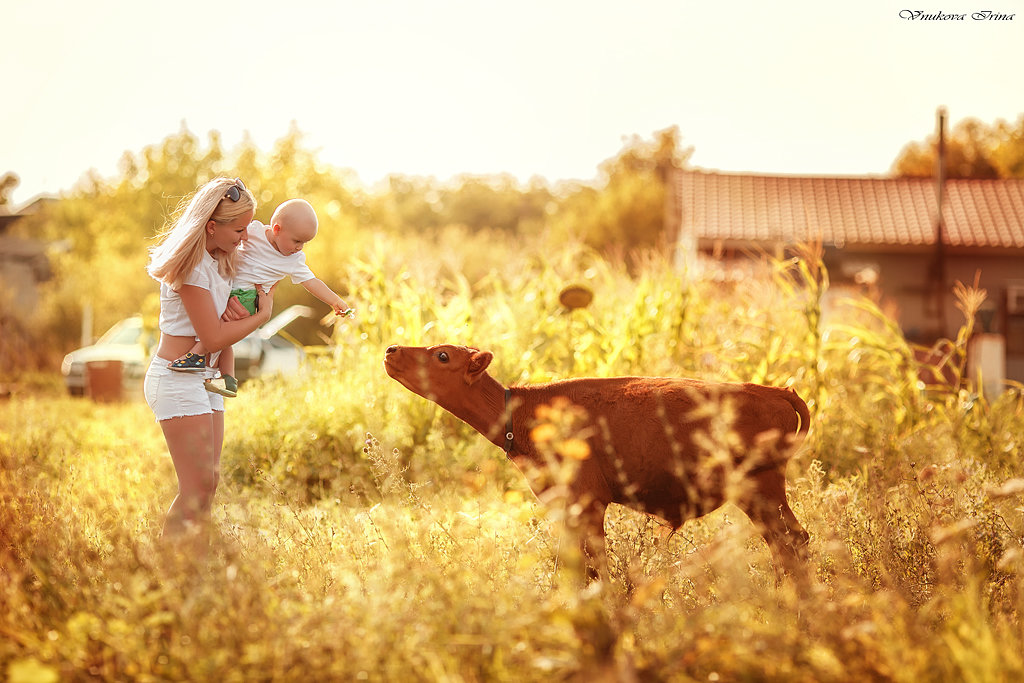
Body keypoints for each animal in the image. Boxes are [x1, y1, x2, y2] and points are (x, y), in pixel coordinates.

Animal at [380, 344, 811, 581]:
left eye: (442, 355)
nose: (391, 350)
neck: (524, 412)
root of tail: (773, 390)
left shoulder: (587, 501)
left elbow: (591, 564)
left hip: (761, 488)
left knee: (792, 542)